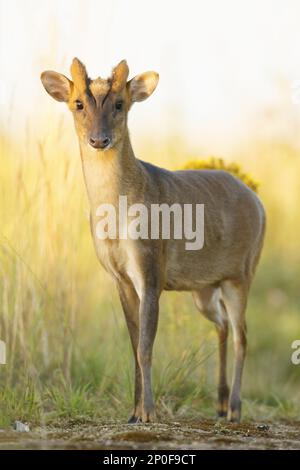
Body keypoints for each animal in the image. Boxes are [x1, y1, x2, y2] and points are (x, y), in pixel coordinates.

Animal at [41, 58, 266, 422]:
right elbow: (134, 346)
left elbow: (146, 346)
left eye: (120, 104)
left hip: (242, 273)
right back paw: (219, 404)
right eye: (78, 104)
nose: (99, 140)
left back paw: (234, 408)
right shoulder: (119, 276)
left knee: (242, 336)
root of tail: (258, 201)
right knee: (222, 325)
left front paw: (148, 412)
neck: (117, 215)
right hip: (204, 288)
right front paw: (133, 413)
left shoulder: (150, 267)